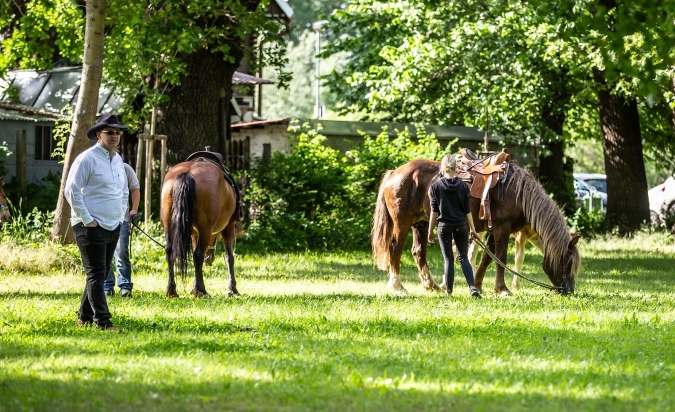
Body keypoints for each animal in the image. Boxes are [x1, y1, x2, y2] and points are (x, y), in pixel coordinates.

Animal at [160, 159, 242, 298]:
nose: (209, 259)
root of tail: (187, 173)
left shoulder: (194, 233)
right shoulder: (229, 227)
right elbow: (229, 258)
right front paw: (232, 289)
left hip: (168, 224)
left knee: (170, 252)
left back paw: (172, 290)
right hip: (206, 228)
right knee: (198, 254)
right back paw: (201, 290)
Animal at [372, 159, 584, 296]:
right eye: (568, 262)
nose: (569, 291)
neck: (519, 195)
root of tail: (394, 173)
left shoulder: (495, 231)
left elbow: (487, 259)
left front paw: (479, 285)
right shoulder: (502, 229)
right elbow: (500, 259)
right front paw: (503, 290)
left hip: (421, 224)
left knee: (418, 252)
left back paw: (431, 286)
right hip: (402, 223)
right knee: (395, 250)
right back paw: (398, 287)